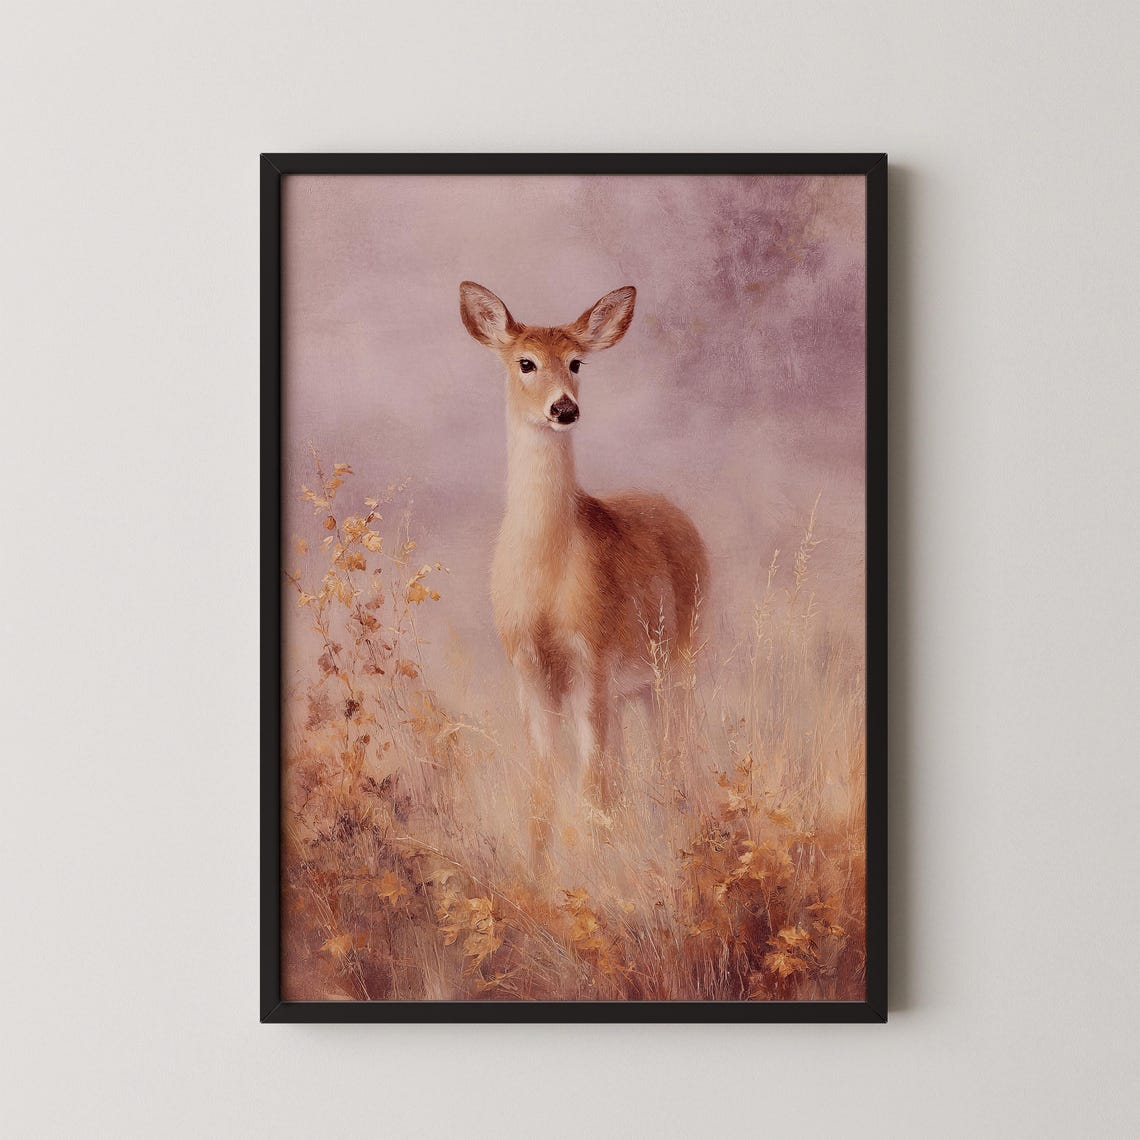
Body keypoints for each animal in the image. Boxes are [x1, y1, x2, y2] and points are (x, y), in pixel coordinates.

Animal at [459, 281, 709, 825]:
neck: (546, 571)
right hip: (633, 685)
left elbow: (593, 787)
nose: (564, 409)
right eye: (526, 362)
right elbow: (544, 789)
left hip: (679, 658)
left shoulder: (591, 654)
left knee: (676, 752)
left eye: (576, 362)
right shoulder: (527, 666)